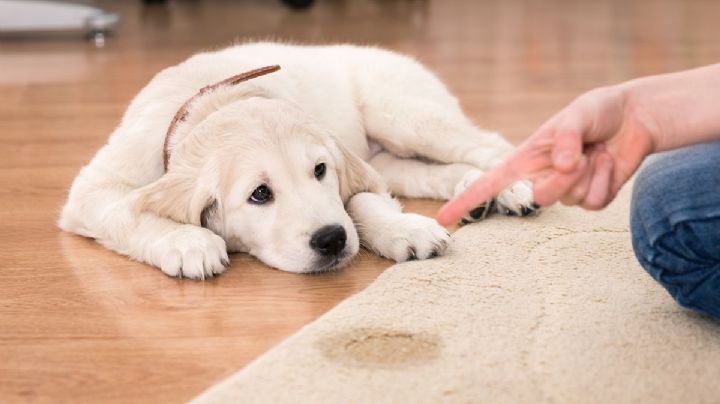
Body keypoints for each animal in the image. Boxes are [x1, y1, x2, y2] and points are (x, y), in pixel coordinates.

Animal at [60, 42, 536, 280]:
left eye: (320, 171)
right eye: (259, 194)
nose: (331, 240)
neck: (214, 101)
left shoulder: (351, 170)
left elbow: (361, 202)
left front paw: (404, 229)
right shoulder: (93, 190)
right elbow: (128, 212)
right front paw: (188, 242)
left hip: (404, 114)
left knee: (486, 143)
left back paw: (512, 188)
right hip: (392, 154)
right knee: (427, 171)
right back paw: (473, 193)